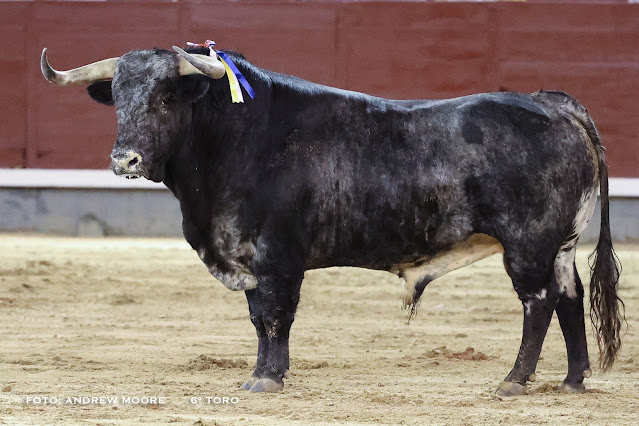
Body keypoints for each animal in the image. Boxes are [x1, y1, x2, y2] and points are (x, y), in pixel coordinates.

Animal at [41, 45, 624, 395]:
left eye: (165, 99)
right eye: (118, 99)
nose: (126, 159)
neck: (238, 138)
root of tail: (554, 103)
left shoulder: (277, 258)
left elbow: (276, 317)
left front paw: (268, 381)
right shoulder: (251, 260)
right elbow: (259, 319)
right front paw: (262, 375)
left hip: (528, 244)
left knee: (539, 302)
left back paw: (514, 380)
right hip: (561, 244)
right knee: (569, 298)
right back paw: (573, 380)